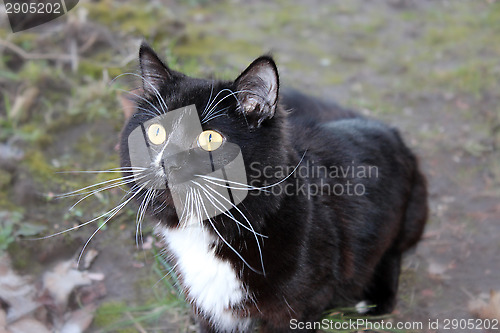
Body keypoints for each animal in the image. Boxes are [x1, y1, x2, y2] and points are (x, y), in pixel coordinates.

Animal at [119, 42, 428, 330]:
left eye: (210, 139)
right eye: (156, 132)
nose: (167, 162)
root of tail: (384, 127)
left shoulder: (300, 308)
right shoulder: (206, 308)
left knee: (393, 252)